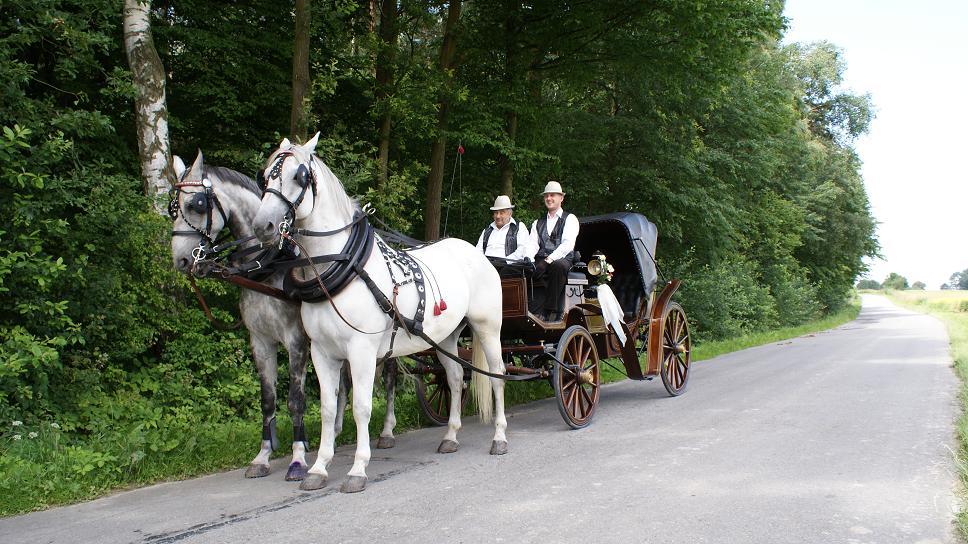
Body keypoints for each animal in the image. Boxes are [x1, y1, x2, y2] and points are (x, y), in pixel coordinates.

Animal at [171, 151, 400, 478]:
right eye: (172, 206)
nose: (179, 259)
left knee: (390, 378)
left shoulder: (296, 340)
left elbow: (295, 400)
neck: (269, 268)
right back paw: (338, 429)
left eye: (197, 204)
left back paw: (387, 431)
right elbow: (268, 400)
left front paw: (298, 457)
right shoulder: (260, 341)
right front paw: (263, 456)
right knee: (344, 382)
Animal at [250, 134, 510, 490]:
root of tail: (477, 252)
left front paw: (358, 468)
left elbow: (361, 407)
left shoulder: (361, 350)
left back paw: (499, 437)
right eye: (264, 177)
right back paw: (451, 436)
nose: (263, 225)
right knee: (456, 378)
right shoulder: (322, 352)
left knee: (497, 374)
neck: (342, 269)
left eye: (299, 176)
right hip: (446, 336)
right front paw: (318, 467)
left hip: (487, 327)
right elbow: (329, 408)